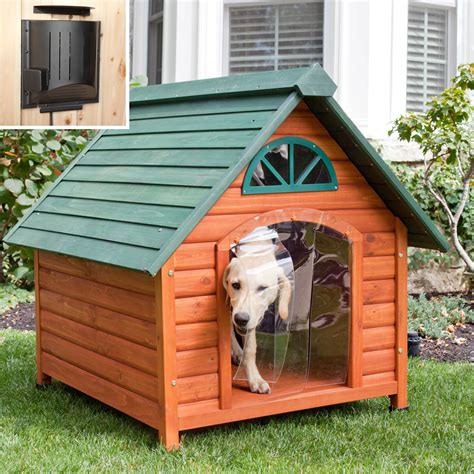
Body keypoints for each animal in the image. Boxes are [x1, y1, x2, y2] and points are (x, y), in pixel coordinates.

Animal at [223, 229, 292, 392]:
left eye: (262, 288)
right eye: (236, 285)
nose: (241, 319)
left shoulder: (252, 319)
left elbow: (250, 349)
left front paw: (255, 379)